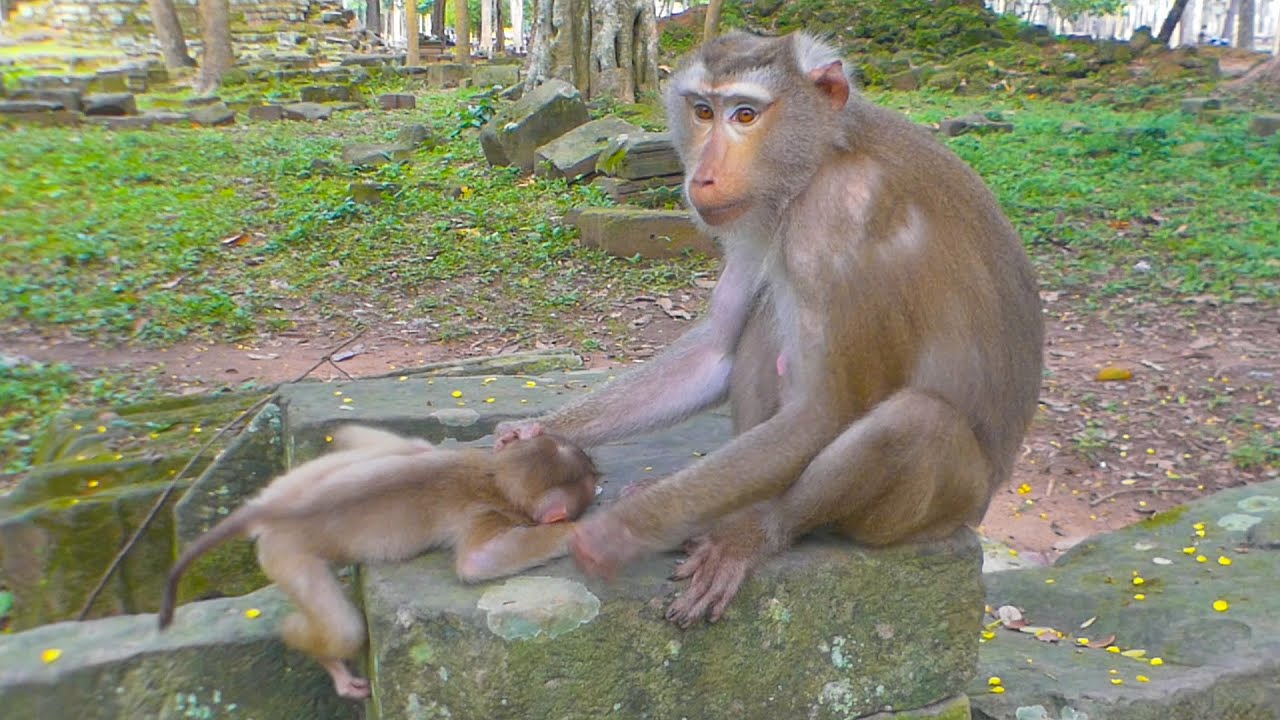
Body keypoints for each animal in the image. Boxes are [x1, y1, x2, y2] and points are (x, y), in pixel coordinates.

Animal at [158, 425, 599, 699]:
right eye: (590, 484)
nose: (599, 477)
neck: (496, 476)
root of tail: (269, 512)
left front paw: (515, 435)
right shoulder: (488, 513)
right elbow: (476, 562)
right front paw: (578, 533)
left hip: (297, 481)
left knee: (393, 444)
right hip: (285, 555)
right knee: (344, 630)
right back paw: (320, 655)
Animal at [496, 31, 1043, 627]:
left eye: (746, 115)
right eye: (703, 111)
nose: (702, 175)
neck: (823, 157)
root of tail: (982, 504)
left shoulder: (835, 215)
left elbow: (823, 413)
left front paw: (622, 531)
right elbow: (716, 349)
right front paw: (538, 432)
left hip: (937, 510)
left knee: (915, 421)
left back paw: (758, 526)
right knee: (762, 323)